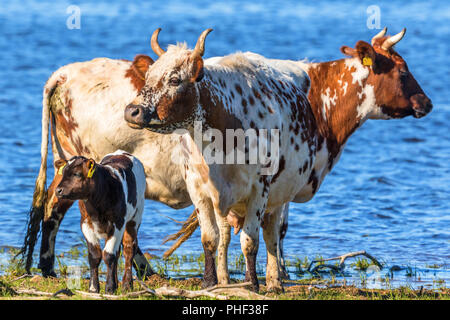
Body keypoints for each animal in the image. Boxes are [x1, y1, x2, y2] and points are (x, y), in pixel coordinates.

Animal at [53, 150, 146, 292]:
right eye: (62, 173)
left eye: (77, 174)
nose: (58, 190)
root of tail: (122, 152)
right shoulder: (85, 223)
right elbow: (95, 256)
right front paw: (93, 287)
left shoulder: (118, 223)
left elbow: (108, 255)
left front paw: (109, 288)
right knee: (118, 252)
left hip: (135, 218)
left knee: (129, 249)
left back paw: (126, 285)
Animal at [129, 28, 432, 292]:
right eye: (149, 77)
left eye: (174, 80)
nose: (132, 111)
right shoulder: (199, 189)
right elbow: (210, 239)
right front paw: (210, 283)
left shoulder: (262, 188)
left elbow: (252, 240)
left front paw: (253, 283)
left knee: (268, 232)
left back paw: (270, 282)